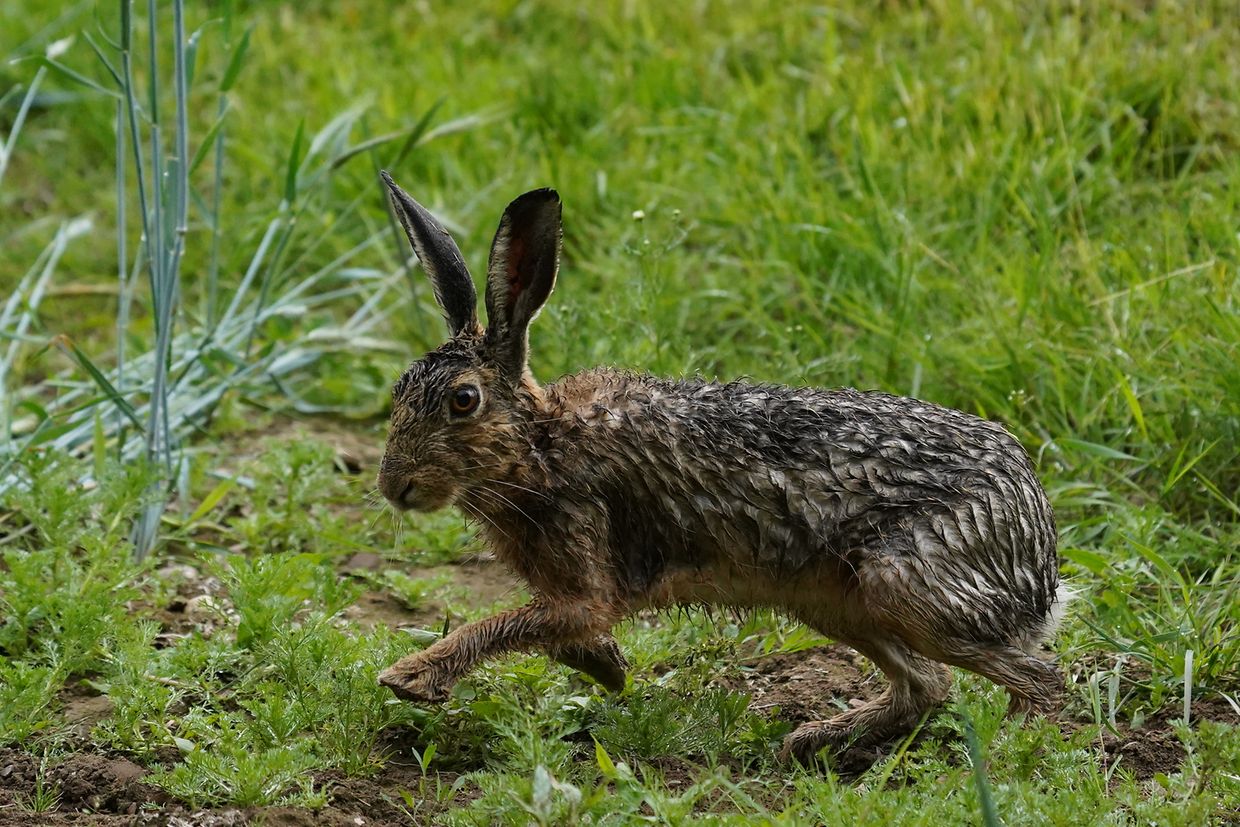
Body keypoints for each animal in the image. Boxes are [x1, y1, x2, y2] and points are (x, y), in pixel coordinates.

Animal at [373, 171, 1068, 763]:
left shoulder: (585, 573)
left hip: (904, 581)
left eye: (464, 400)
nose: (393, 487)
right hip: (838, 601)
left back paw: (1008, 750)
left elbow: (517, 622)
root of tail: (1036, 547)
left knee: (1039, 678)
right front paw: (608, 669)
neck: (540, 442)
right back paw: (813, 741)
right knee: (928, 685)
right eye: (399, 389)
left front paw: (410, 677)